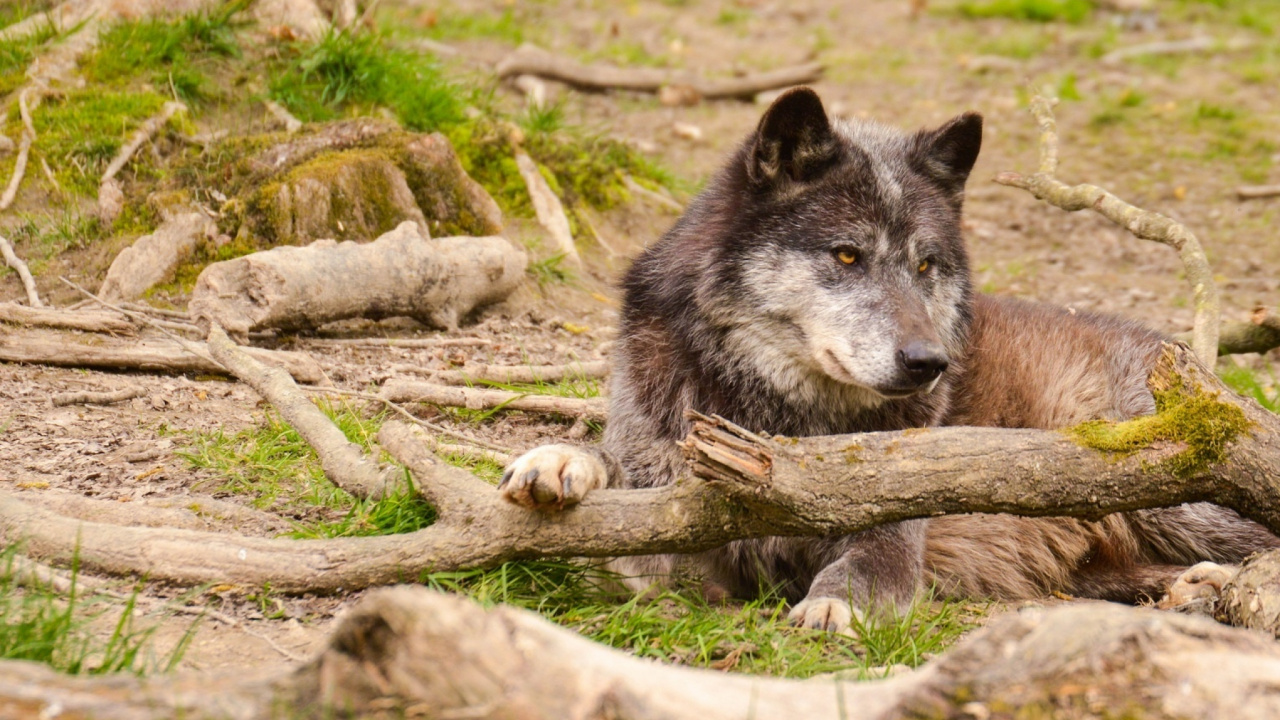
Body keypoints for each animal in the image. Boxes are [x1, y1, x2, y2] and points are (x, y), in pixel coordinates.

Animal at [497, 87, 1279, 633]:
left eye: (926, 264)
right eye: (847, 255)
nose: (929, 362)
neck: (780, 419)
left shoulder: (893, 532)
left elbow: (867, 566)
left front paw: (834, 607)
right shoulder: (667, 512)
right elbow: (612, 471)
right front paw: (558, 462)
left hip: (1183, 493)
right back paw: (1195, 588)